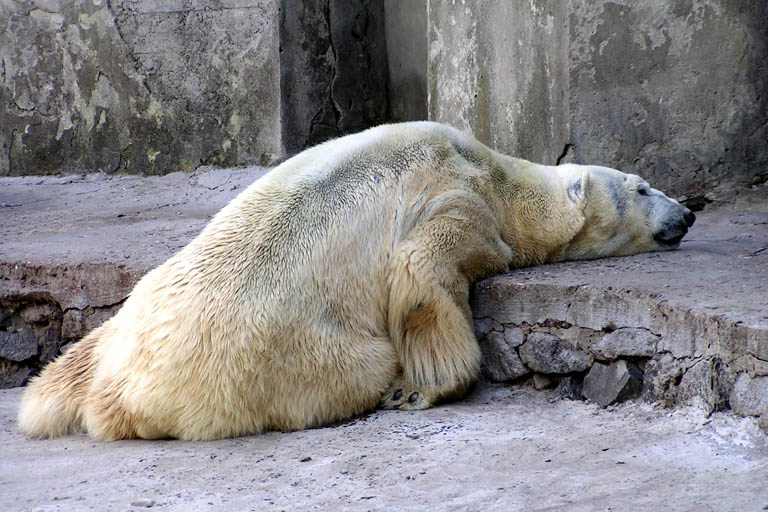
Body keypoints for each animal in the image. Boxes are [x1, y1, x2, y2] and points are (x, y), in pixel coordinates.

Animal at [17, 121, 695, 441]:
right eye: (642, 186)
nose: (687, 214)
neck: (498, 177)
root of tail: (117, 393)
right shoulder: (454, 197)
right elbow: (421, 277)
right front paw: (422, 389)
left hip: (128, 313)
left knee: (66, 368)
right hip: (280, 360)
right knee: (357, 365)